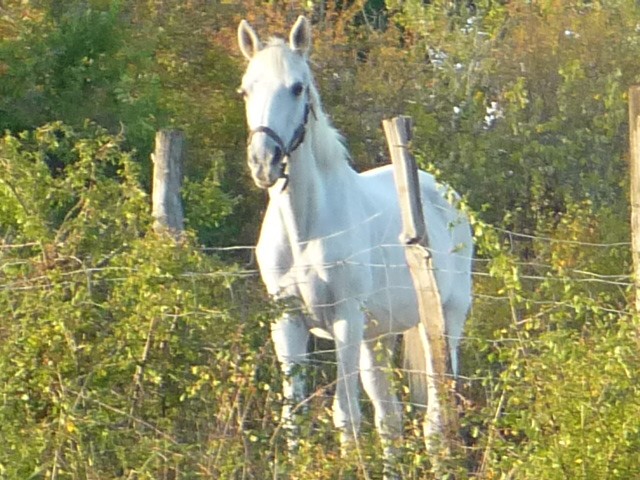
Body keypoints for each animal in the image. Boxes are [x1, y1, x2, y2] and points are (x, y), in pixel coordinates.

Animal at [238, 15, 472, 476]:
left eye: (298, 87)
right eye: (246, 89)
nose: (263, 162)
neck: (306, 231)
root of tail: (445, 194)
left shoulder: (344, 321)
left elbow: (345, 415)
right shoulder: (287, 321)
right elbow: (295, 418)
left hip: (442, 323)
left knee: (436, 420)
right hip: (376, 337)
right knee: (390, 419)